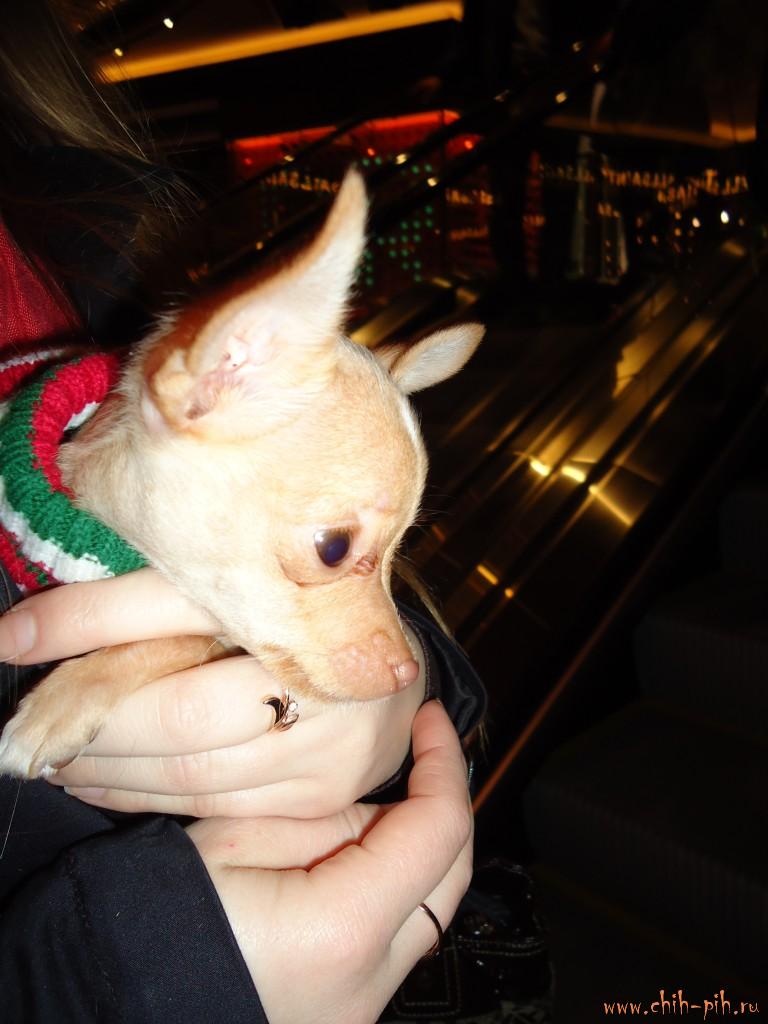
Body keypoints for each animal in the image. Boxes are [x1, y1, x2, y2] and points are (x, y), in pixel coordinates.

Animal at [0, 169, 483, 779]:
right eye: (334, 550)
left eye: (402, 549)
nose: (407, 673)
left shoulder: (211, 631)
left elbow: (179, 639)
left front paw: (65, 696)